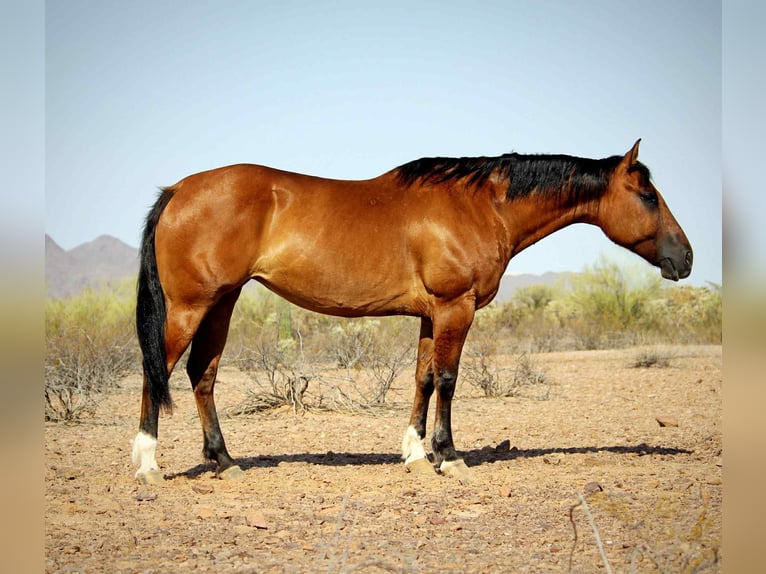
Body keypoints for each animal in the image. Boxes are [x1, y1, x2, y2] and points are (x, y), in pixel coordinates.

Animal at [132, 139, 692, 484]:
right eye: (647, 194)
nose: (685, 258)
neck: (481, 204)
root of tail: (178, 190)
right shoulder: (455, 308)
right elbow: (447, 379)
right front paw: (449, 456)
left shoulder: (431, 314)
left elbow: (421, 379)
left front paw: (416, 456)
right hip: (191, 307)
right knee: (155, 371)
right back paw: (147, 465)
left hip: (221, 304)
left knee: (202, 375)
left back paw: (225, 461)